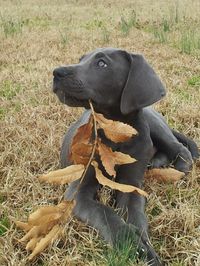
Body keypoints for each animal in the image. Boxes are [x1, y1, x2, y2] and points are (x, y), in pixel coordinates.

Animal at [52, 48, 198, 266]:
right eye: (81, 60)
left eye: (102, 63)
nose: (56, 73)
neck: (115, 133)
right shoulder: (78, 190)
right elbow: (104, 213)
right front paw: (133, 244)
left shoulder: (131, 185)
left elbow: (135, 213)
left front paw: (143, 246)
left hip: (151, 122)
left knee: (180, 149)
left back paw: (176, 170)